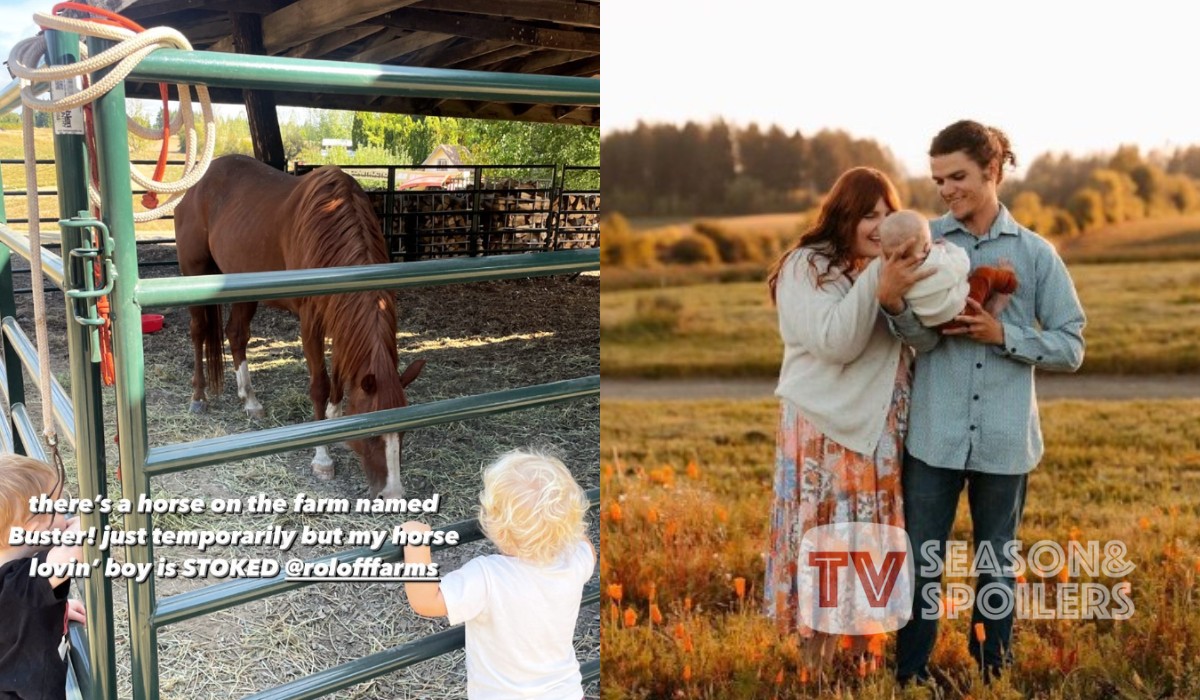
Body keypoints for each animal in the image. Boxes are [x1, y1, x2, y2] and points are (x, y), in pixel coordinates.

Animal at [175, 157, 427, 501]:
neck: (331, 225)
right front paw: (322, 457)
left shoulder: (340, 317)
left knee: (236, 334)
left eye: (403, 431)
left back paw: (250, 400)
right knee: (199, 330)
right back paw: (198, 397)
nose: (393, 494)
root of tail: (196, 184)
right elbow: (320, 384)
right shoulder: (312, 322)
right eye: (371, 433)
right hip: (195, 274)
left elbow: (339, 377)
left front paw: (335, 422)